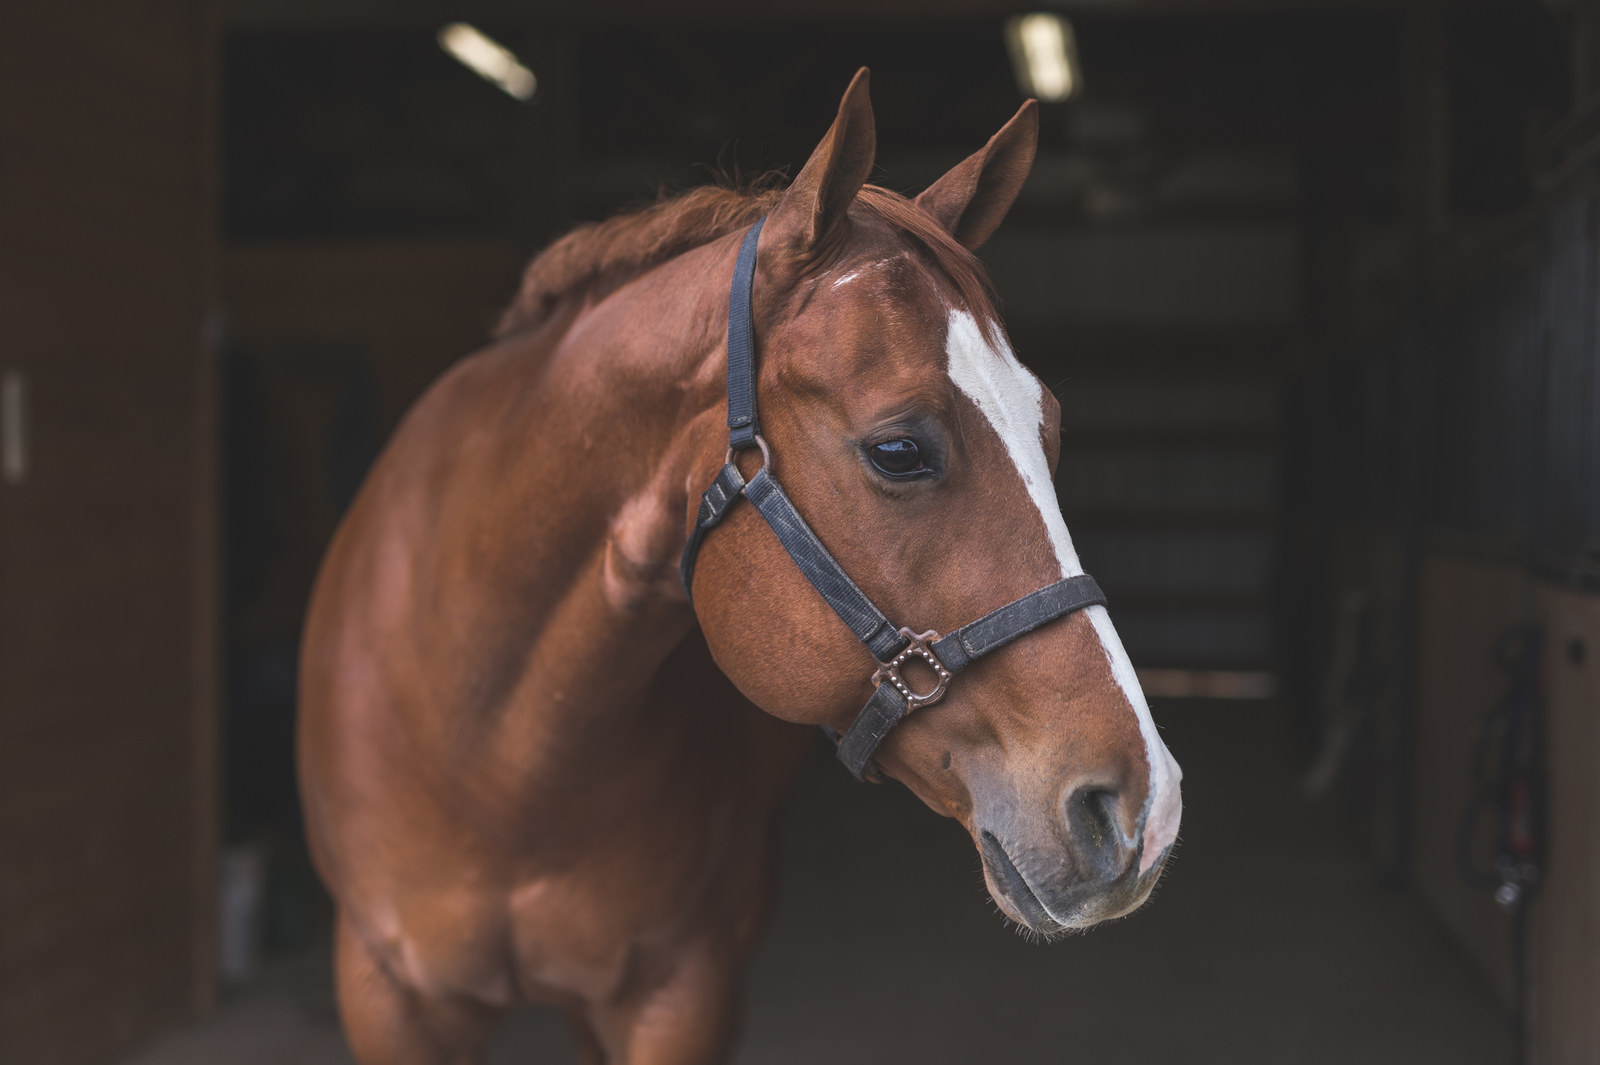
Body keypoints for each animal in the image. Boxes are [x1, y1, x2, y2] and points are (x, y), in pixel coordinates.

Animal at [300, 68, 1184, 1061]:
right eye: (898, 451)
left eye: (1051, 429)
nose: (1143, 808)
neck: (497, 757)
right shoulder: (390, 995)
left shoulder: (683, 988)